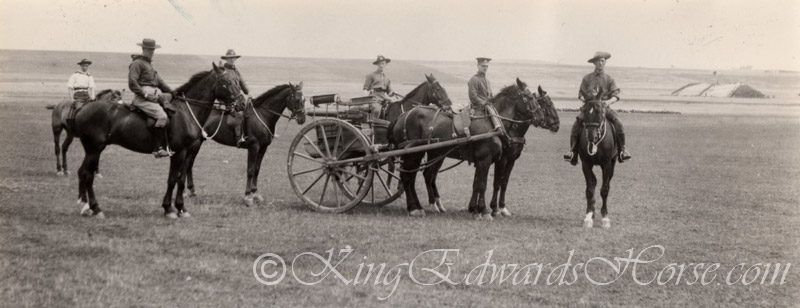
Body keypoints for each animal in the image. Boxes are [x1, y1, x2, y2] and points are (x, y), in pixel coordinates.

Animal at [75, 62, 245, 218]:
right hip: (94, 149)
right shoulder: (179, 152)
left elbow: (181, 180)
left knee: (83, 172)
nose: (242, 103)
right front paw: (168, 208)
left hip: (92, 149)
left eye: (237, 80)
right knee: (88, 175)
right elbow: (172, 179)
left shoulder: (190, 152)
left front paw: (182, 208)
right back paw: (96, 208)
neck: (186, 112)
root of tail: (83, 108)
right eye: (227, 81)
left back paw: (85, 206)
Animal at [390, 78, 540, 220]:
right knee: (407, 177)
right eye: (529, 97)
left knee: (413, 177)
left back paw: (420, 207)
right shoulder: (485, 160)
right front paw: (484, 211)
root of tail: (401, 116)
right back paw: (413, 208)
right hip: (413, 154)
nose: (540, 115)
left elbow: (478, 184)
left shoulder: (483, 161)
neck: (492, 122)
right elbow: (483, 185)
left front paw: (476, 210)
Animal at [484, 85, 560, 218]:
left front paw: (503, 207)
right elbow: (497, 182)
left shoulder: (512, 160)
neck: (511, 131)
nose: (557, 125)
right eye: (547, 103)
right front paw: (494, 208)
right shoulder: (502, 160)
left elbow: (504, 182)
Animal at [576, 93, 620, 229]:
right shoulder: (586, 164)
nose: (591, 136)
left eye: (600, 111)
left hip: (612, 164)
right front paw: (588, 217)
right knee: (593, 182)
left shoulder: (607, 164)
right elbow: (589, 190)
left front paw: (605, 218)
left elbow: (604, 190)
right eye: (584, 111)